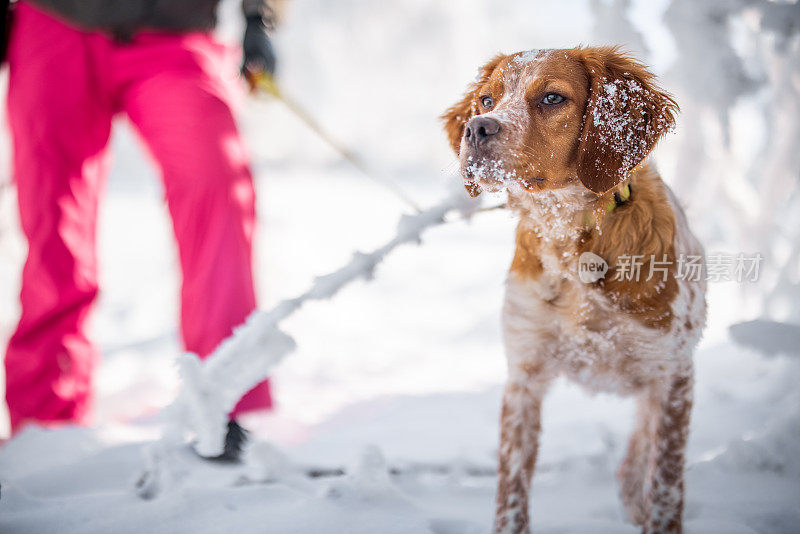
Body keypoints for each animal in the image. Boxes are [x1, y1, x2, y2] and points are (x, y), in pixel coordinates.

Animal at [444, 47, 708, 534]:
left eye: (552, 97)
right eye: (486, 100)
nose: (477, 128)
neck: (570, 233)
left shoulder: (672, 375)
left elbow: (665, 489)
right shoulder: (524, 377)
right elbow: (511, 492)